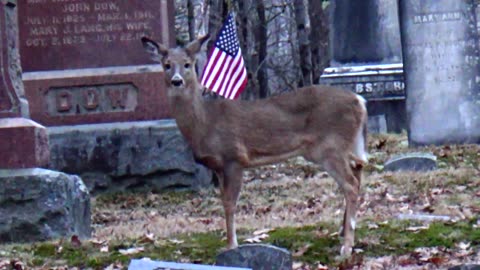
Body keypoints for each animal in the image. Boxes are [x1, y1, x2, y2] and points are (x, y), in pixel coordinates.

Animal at [141, 35, 370, 255]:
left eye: (187, 64)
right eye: (167, 64)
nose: (176, 81)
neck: (206, 123)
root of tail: (360, 102)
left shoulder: (234, 157)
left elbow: (230, 203)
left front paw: (232, 246)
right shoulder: (219, 167)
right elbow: (224, 200)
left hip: (330, 147)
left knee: (351, 184)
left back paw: (346, 247)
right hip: (339, 146)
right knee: (358, 170)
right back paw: (342, 232)